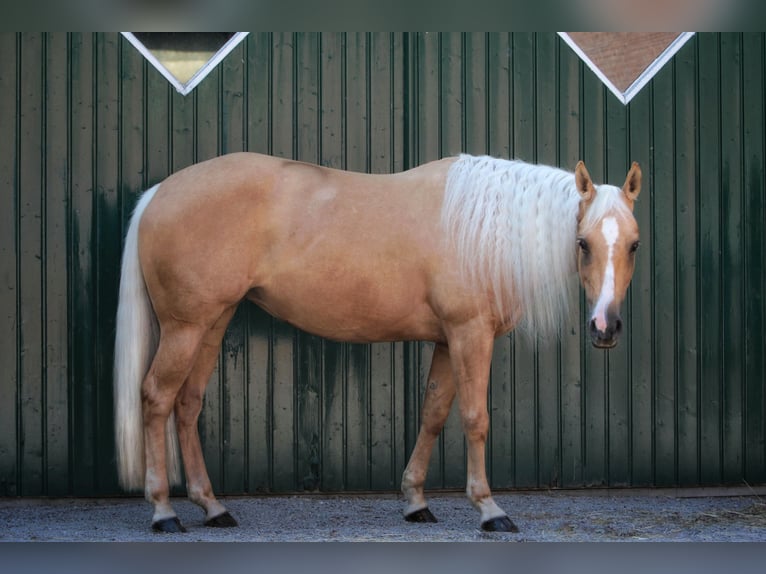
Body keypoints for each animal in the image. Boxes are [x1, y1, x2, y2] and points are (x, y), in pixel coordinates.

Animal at [114, 152, 641, 533]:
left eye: (634, 244)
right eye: (583, 243)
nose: (606, 327)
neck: (480, 229)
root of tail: (159, 193)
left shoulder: (448, 340)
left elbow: (433, 414)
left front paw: (415, 502)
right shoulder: (470, 334)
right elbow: (475, 419)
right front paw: (490, 510)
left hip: (212, 322)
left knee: (187, 404)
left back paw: (213, 508)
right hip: (185, 327)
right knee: (157, 398)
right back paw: (164, 512)